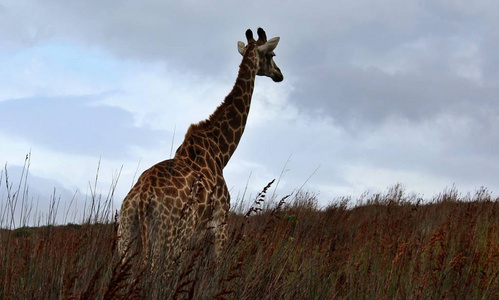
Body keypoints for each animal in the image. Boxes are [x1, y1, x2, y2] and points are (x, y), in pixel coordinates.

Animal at [115, 27, 284, 268]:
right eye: (272, 55)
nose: (279, 74)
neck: (221, 151)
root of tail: (143, 196)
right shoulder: (220, 224)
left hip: (127, 234)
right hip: (170, 236)